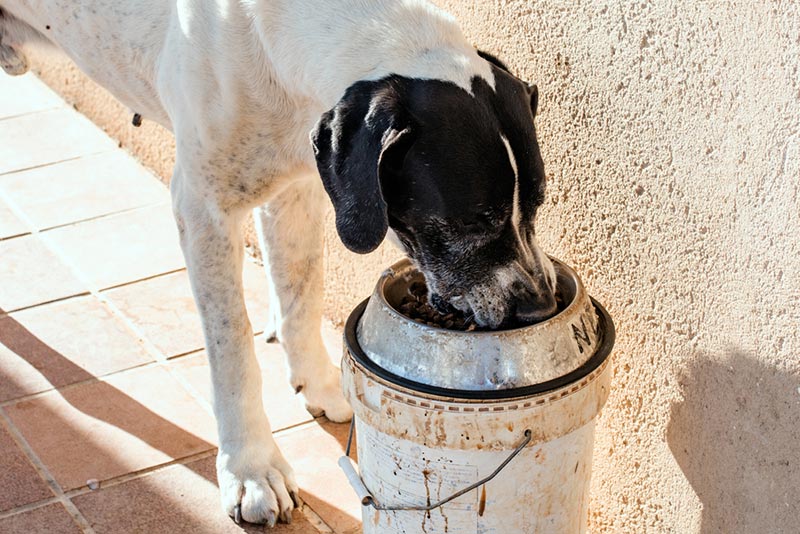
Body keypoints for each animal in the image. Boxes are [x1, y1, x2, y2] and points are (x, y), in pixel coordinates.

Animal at [1, 0, 556, 528]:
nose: (539, 309)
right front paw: (251, 470)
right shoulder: (204, 211)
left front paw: (320, 384)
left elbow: (302, 294)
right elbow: (233, 354)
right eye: (473, 220)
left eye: (537, 202)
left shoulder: (301, 185)